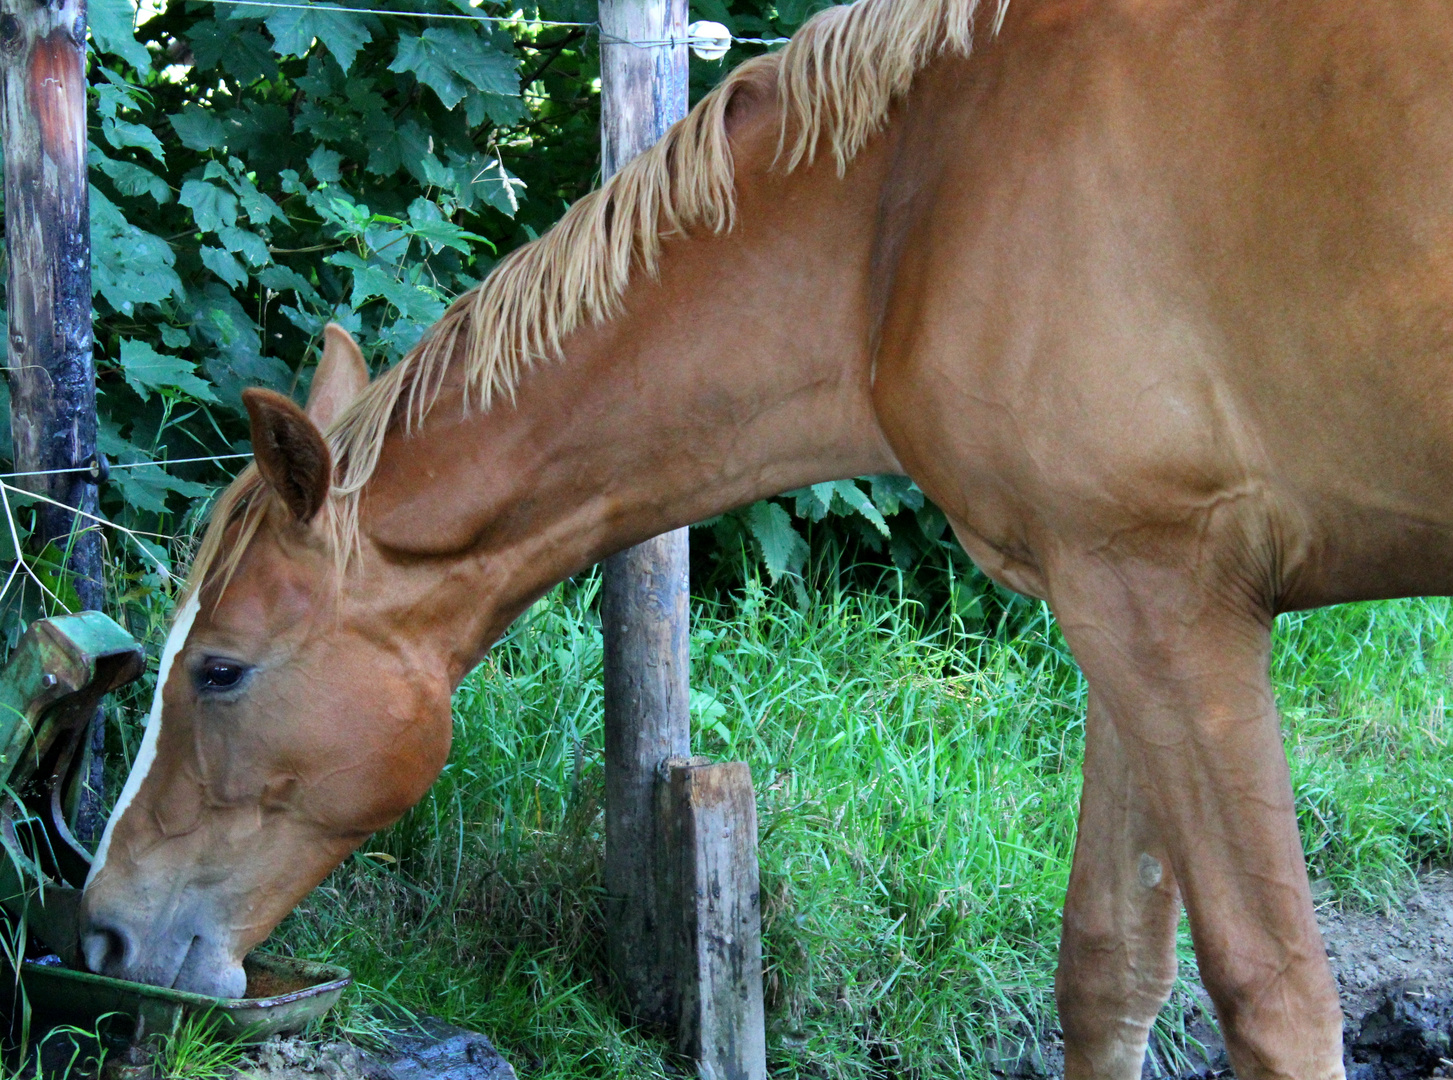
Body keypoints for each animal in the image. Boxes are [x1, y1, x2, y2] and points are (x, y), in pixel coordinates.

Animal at [76, 2, 1453, 1075]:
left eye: (219, 671)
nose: (96, 933)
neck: (910, 202)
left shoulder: (1167, 600)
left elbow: (1275, 1001)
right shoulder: (1121, 600)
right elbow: (1108, 975)